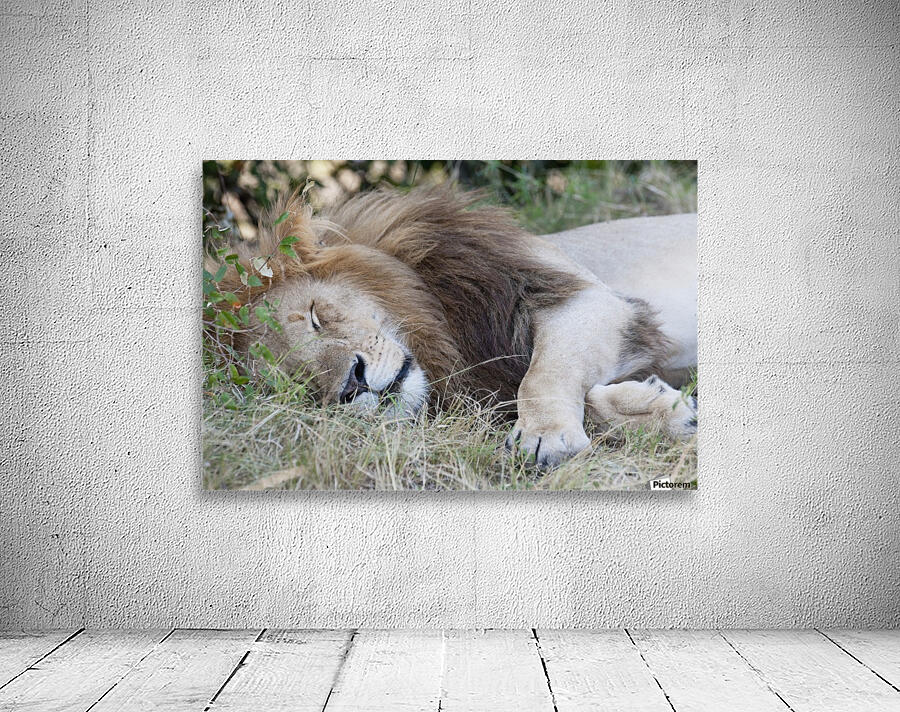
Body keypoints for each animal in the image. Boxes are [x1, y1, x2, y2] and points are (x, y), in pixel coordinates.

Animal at [207, 186, 697, 467]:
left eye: (315, 316)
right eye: (300, 383)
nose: (352, 385)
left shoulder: (579, 296)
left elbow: (540, 376)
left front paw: (545, 436)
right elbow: (541, 391)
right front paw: (662, 409)